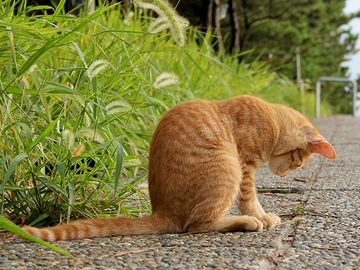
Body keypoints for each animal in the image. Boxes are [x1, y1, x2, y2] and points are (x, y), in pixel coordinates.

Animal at [23, 95, 336, 240]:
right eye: (298, 161)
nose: (286, 173)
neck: (272, 119)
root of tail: (162, 211)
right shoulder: (245, 166)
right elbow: (250, 198)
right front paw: (261, 215)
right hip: (227, 168)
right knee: (196, 226)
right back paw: (245, 222)